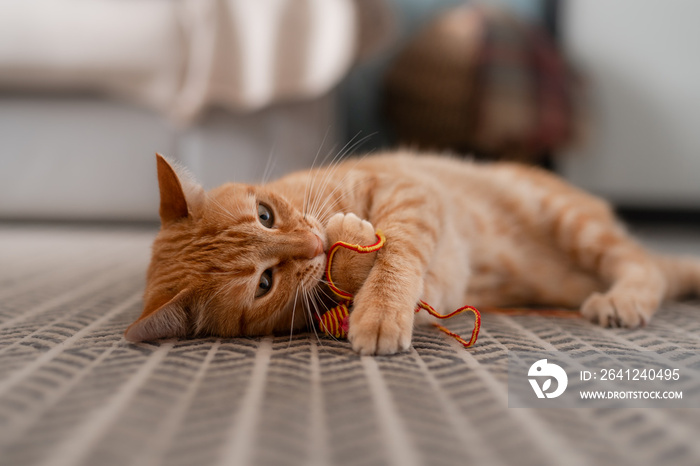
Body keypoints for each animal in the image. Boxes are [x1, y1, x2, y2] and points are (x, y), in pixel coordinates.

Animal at [126, 153, 700, 354]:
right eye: (264, 283)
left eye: (265, 215)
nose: (312, 244)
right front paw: (346, 256)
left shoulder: (410, 193)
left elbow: (397, 251)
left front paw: (376, 302)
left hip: (573, 223)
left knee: (643, 265)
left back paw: (624, 299)